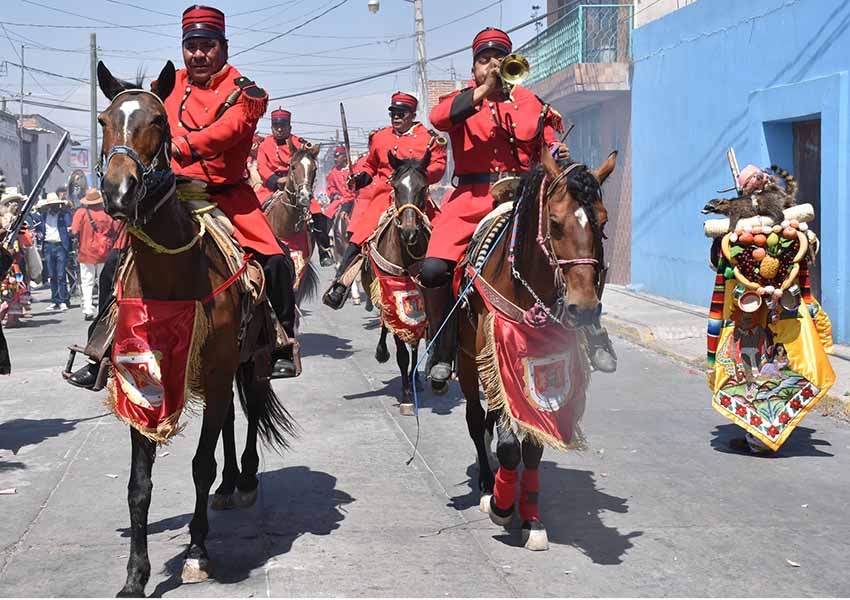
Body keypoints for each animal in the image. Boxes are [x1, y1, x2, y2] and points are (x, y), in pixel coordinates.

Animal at [96, 61, 294, 596]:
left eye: (158, 122)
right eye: (104, 120)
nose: (118, 193)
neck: (171, 279)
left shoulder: (223, 365)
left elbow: (200, 466)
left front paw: (198, 553)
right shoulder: (142, 378)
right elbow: (138, 487)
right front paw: (135, 575)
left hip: (251, 361)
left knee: (248, 410)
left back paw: (244, 480)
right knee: (226, 418)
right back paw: (229, 485)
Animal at [362, 151, 430, 412]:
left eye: (423, 188)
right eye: (396, 187)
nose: (409, 232)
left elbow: (415, 341)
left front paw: (415, 380)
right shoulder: (392, 293)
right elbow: (401, 348)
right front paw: (406, 395)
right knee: (384, 324)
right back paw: (382, 352)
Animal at [458, 148, 608, 552]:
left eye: (602, 222)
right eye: (554, 223)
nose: (584, 308)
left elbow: (534, 445)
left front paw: (531, 517)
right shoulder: (493, 354)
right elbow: (509, 444)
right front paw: (501, 504)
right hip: (466, 361)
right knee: (476, 420)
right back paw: (485, 484)